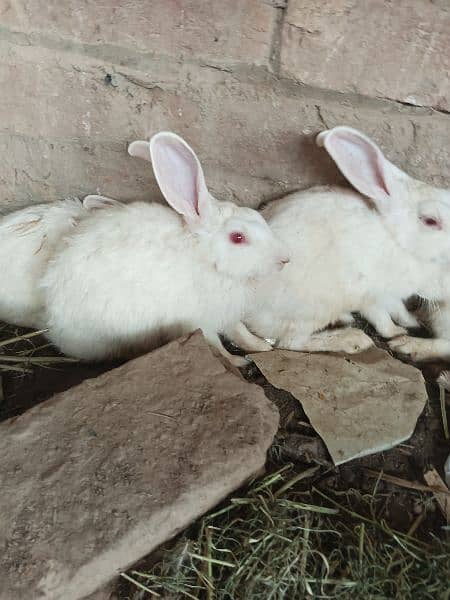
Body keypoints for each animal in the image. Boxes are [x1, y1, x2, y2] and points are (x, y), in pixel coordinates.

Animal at [42, 132, 288, 366]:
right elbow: (216, 346)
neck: (207, 261)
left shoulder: (228, 316)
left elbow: (240, 332)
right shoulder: (199, 322)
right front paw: (238, 361)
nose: (284, 259)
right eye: (238, 237)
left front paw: (262, 347)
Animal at [227, 125, 450, 352]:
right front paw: (397, 333)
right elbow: (382, 318)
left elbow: (399, 310)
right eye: (431, 221)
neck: (396, 239)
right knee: (291, 342)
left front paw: (411, 321)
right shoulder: (373, 296)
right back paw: (352, 339)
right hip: (313, 311)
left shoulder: (393, 297)